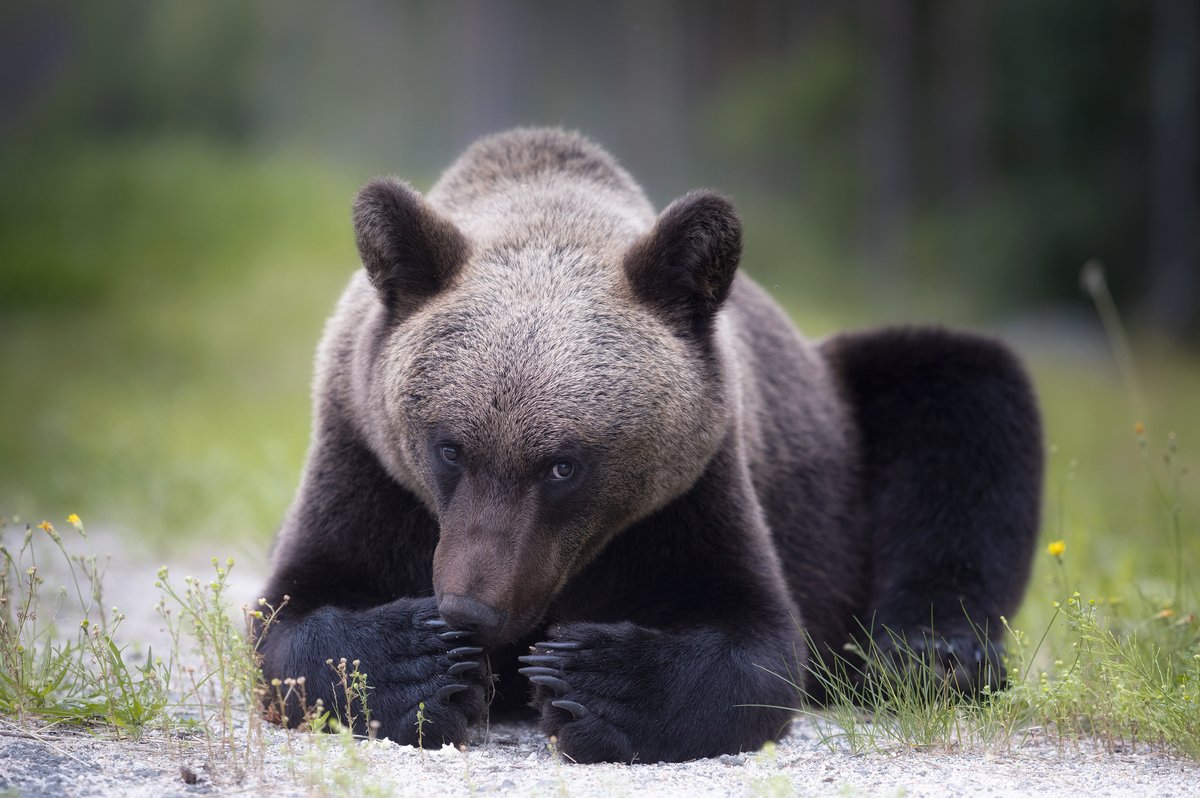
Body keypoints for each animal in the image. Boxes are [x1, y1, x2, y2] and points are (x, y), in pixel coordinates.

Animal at [258, 127, 1046, 763]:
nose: (470, 609)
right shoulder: (364, 457)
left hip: (852, 429)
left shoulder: (696, 486)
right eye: (449, 448)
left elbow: (754, 640)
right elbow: (294, 616)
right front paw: (427, 662)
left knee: (964, 398)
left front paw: (590, 678)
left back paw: (935, 653)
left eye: (563, 465)